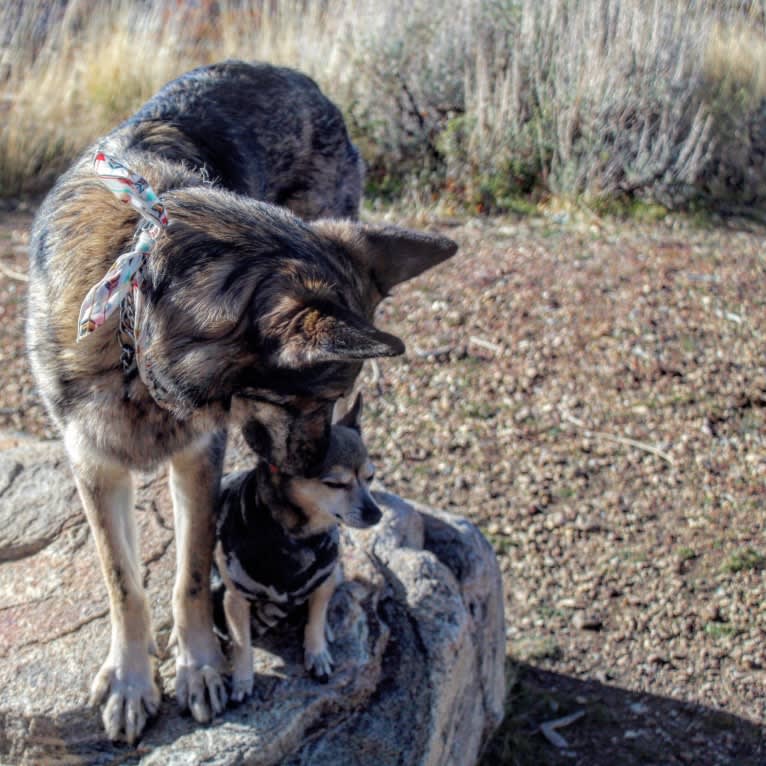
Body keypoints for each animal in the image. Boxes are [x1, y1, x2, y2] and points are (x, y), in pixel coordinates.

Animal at [212, 396, 380, 704]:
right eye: (335, 484)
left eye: (371, 478)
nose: (376, 513)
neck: (297, 537)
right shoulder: (234, 598)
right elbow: (242, 643)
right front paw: (243, 680)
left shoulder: (323, 578)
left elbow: (316, 615)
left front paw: (317, 652)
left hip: (335, 572)